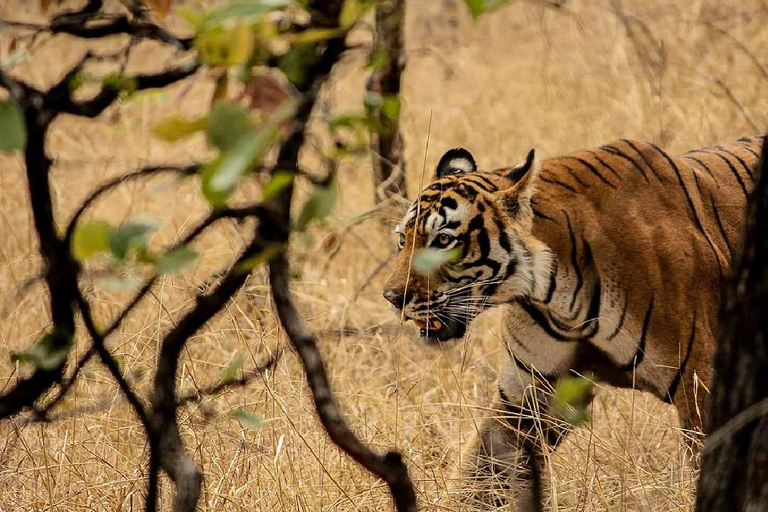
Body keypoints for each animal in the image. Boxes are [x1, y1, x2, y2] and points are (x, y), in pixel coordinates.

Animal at [382, 134, 760, 510]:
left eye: (444, 240)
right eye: (402, 239)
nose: (392, 297)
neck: (556, 296)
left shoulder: (701, 384)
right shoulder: (526, 395)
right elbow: (484, 473)